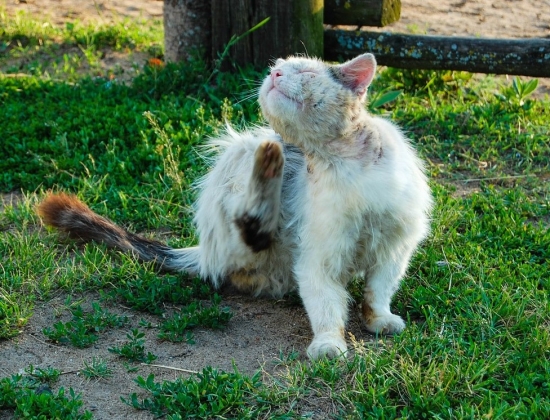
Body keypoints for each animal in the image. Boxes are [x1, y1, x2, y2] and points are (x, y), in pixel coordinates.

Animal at [38, 54, 436, 360]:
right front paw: (328, 344)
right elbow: (326, 306)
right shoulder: (318, 258)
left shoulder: (395, 248)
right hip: (242, 152)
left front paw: (379, 319)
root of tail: (203, 250)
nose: (274, 74)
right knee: (248, 229)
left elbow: (378, 291)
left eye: (304, 72)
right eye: (277, 67)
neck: (341, 163)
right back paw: (269, 166)